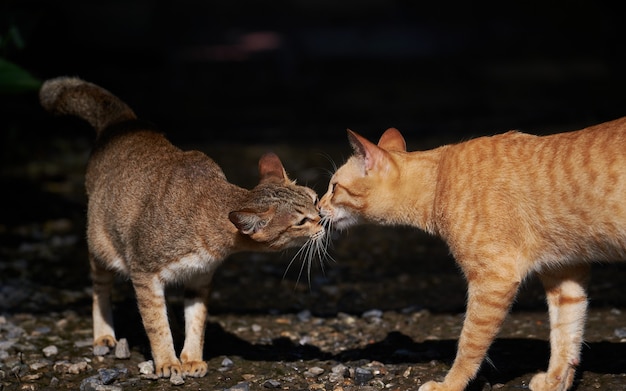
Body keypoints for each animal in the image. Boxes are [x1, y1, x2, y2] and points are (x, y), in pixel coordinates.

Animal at [39, 77, 324, 382]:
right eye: (301, 222)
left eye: (315, 198)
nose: (322, 219)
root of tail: (123, 121)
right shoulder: (144, 274)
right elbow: (155, 324)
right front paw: (167, 361)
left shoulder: (200, 278)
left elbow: (196, 322)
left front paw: (191, 358)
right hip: (101, 247)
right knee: (100, 288)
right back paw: (104, 335)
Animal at [316, 120, 624, 391]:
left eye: (334, 187)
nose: (318, 207)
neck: (437, 182)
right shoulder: (565, 273)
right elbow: (566, 335)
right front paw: (555, 382)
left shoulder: (494, 279)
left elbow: (469, 343)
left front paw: (450, 384)